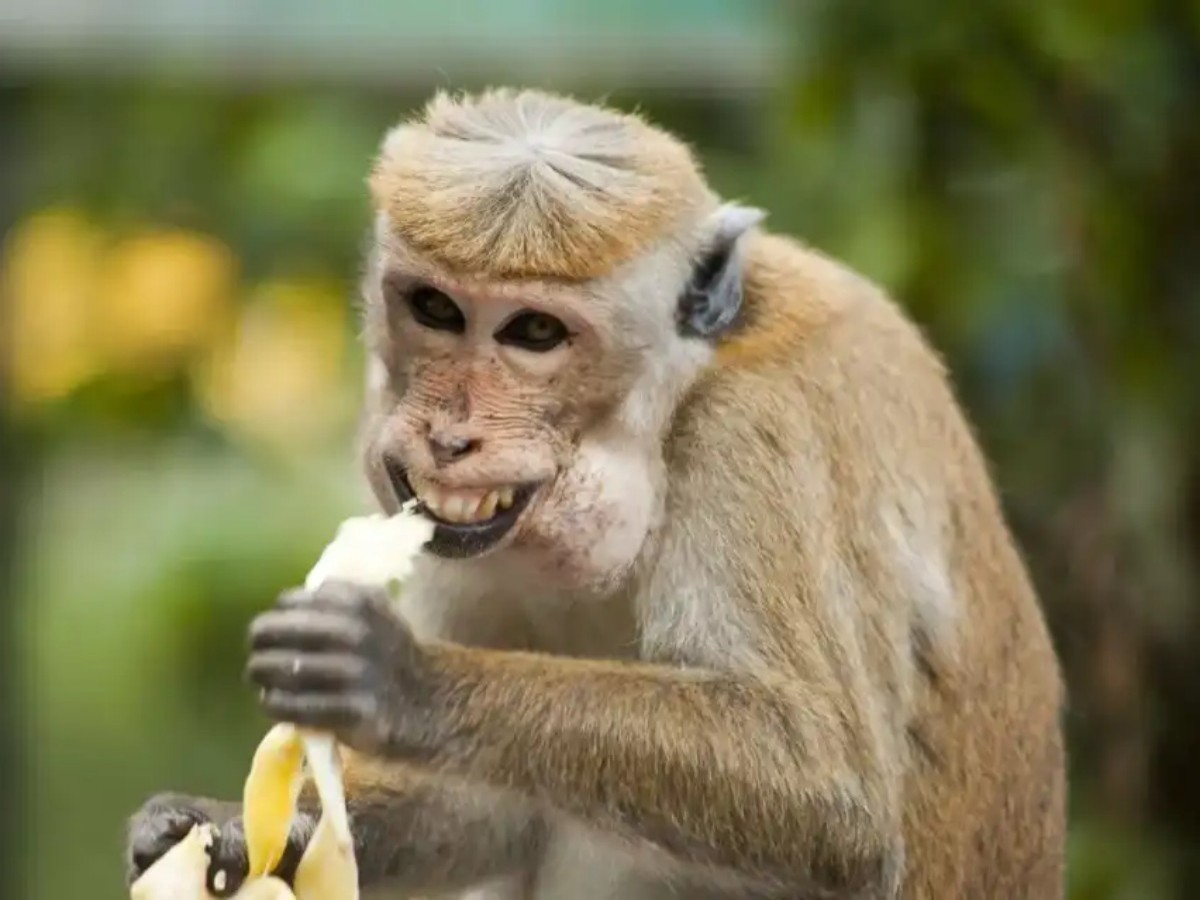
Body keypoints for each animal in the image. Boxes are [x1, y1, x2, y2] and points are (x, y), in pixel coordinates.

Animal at [126, 88, 1067, 899]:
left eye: (535, 332)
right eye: (435, 309)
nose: (449, 438)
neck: (674, 400)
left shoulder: (754, 437)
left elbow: (831, 794)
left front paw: (400, 678)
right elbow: (488, 808)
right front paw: (224, 829)